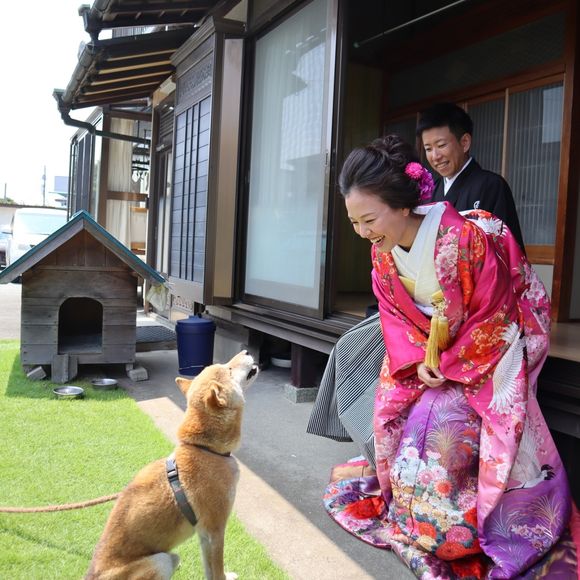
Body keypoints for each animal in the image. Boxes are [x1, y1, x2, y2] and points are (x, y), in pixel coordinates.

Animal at [86, 351, 259, 580]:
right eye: (228, 369)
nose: (246, 351)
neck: (205, 448)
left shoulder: (204, 534)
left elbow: (209, 570)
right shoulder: (215, 530)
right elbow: (217, 569)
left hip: (171, 558)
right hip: (161, 561)